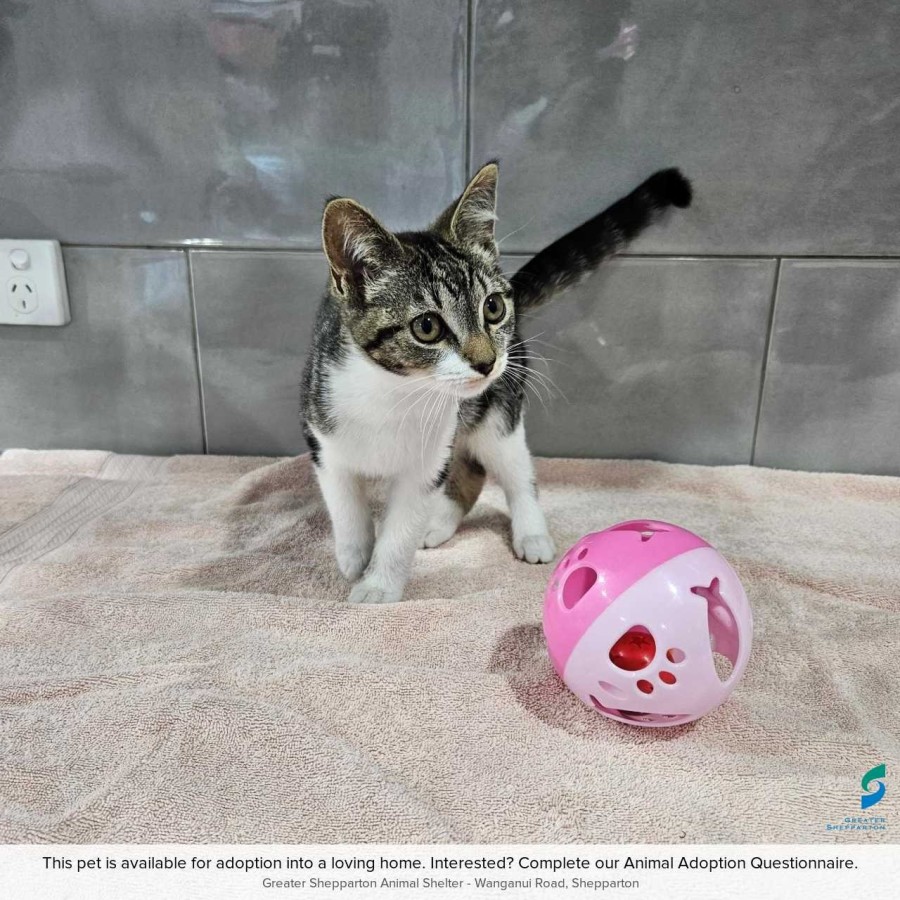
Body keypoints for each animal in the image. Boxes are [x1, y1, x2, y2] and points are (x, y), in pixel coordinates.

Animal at [301, 163, 692, 604]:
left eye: (492, 307)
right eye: (426, 327)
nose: (486, 361)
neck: (394, 393)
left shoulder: (426, 464)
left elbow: (401, 529)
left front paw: (378, 585)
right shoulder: (323, 438)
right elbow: (345, 504)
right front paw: (354, 556)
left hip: (500, 412)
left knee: (512, 469)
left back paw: (529, 533)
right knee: (472, 471)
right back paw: (438, 524)